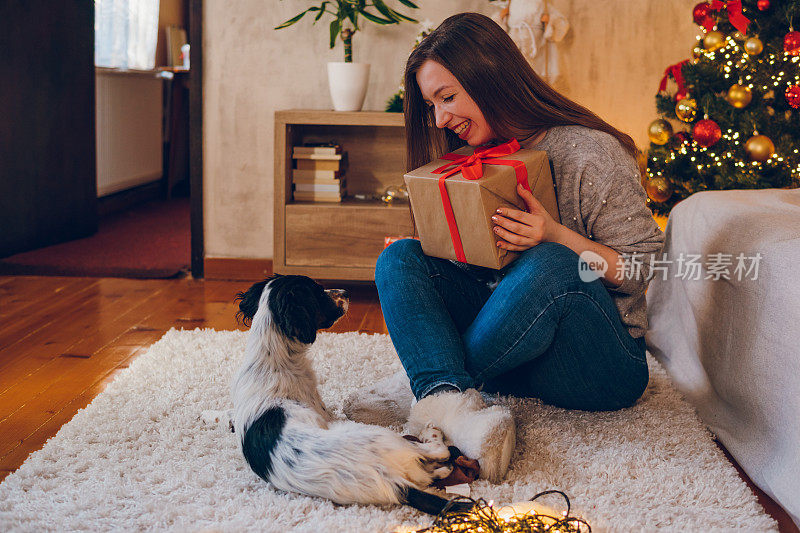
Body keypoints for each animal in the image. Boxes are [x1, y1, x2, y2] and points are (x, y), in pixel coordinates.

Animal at [230, 274, 468, 512]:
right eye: (318, 292)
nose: (345, 292)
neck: (269, 358)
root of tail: (391, 480)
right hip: (384, 437)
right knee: (440, 451)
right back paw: (432, 434)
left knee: (432, 472)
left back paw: (443, 468)